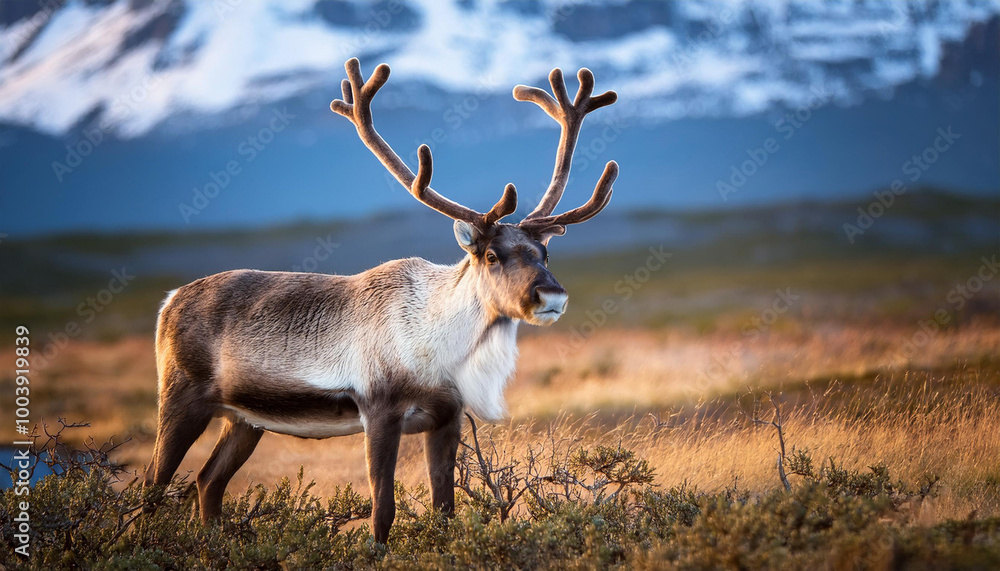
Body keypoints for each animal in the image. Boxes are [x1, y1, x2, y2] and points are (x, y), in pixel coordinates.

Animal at [143, 58, 618, 543]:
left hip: (243, 419)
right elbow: (383, 510)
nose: (551, 294)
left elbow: (444, 508)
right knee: (152, 487)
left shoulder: (446, 417)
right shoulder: (379, 410)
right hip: (181, 397)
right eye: (491, 256)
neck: (440, 342)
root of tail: (169, 301)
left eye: (544, 253)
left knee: (207, 481)